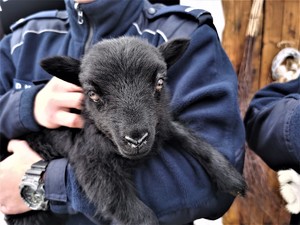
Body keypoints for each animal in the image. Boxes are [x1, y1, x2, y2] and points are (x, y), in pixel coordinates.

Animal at [5, 36, 246, 225]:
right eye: (92, 93)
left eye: (159, 82)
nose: (136, 139)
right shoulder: (92, 165)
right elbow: (137, 214)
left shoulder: (161, 125)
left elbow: (192, 140)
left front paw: (231, 178)